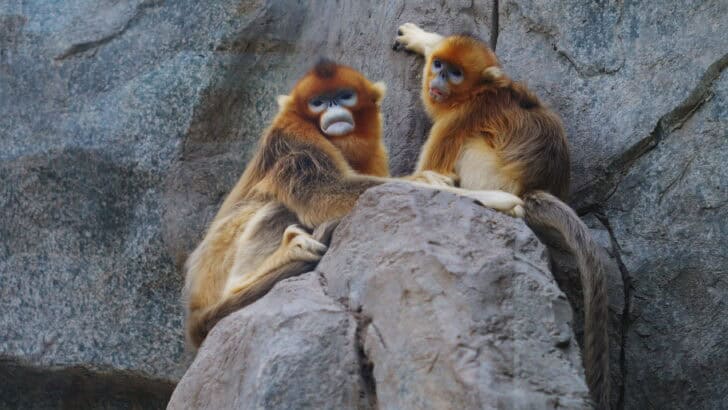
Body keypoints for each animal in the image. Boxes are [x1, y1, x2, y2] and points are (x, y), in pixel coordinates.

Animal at [184, 59, 525, 348]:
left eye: (344, 96)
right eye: (318, 102)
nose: (333, 107)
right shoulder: (295, 136)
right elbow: (329, 195)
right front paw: (494, 197)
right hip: (219, 259)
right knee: (279, 206)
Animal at [394, 24, 610, 409]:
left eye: (456, 73)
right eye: (440, 65)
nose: (439, 79)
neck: (481, 92)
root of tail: (532, 191)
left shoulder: (460, 118)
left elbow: (425, 173)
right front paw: (423, 38)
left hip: (486, 162)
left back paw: (495, 200)